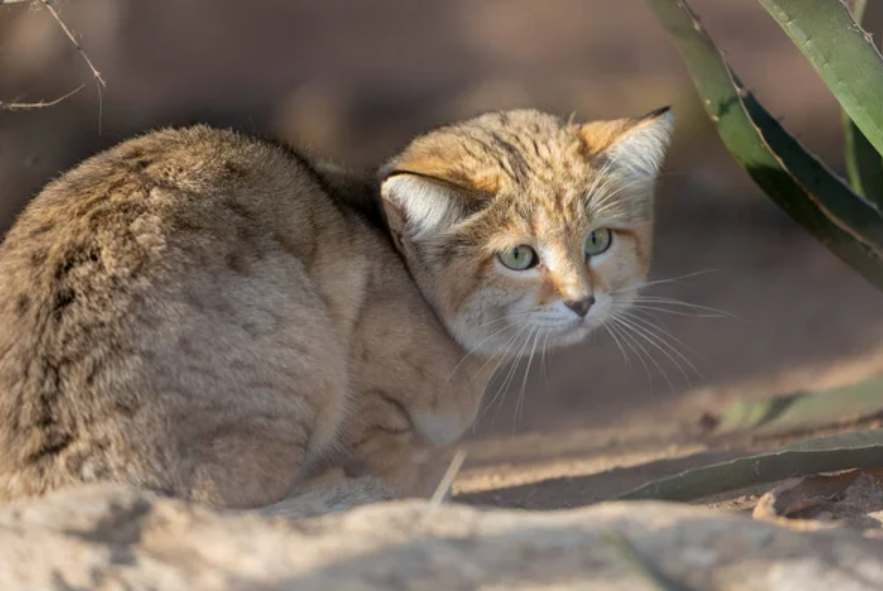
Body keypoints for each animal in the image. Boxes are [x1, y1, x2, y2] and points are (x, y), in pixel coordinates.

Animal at [0, 107, 668, 512]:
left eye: (598, 241)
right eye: (520, 256)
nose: (583, 302)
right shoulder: (365, 403)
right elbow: (391, 462)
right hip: (305, 358)